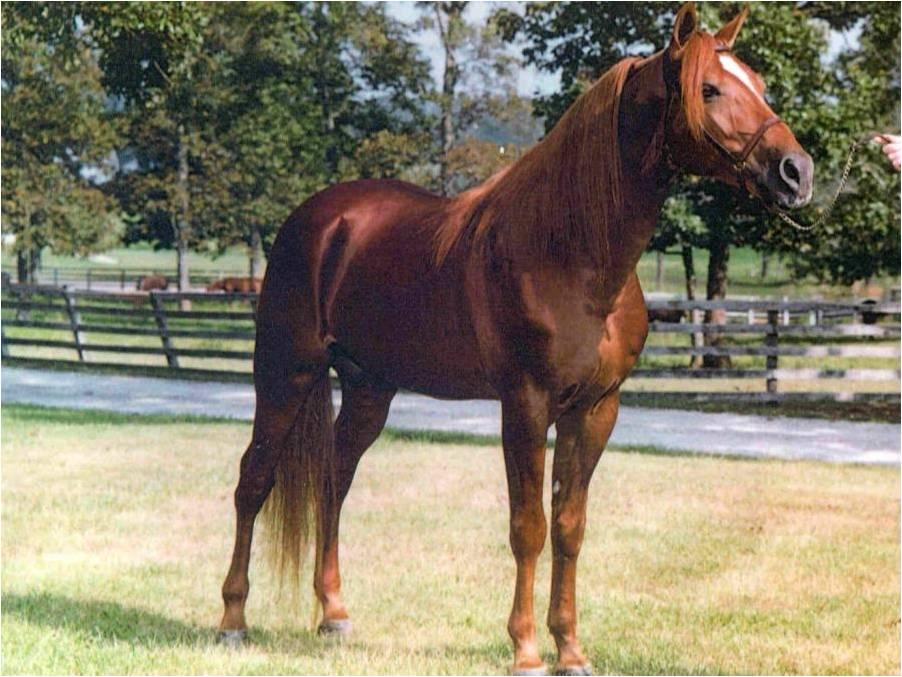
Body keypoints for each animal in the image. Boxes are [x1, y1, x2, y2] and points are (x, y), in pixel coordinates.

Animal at [221, 6, 820, 676]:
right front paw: (528, 649)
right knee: (253, 482)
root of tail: (318, 219)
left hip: (369, 388)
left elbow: (569, 526)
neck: (571, 253)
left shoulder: (596, 409)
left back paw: (334, 615)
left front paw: (572, 649)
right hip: (286, 373)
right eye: (709, 89)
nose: (797, 173)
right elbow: (528, 525)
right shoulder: (527, 405)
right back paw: (233, 620)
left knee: (334, 482)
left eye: (760, 85)